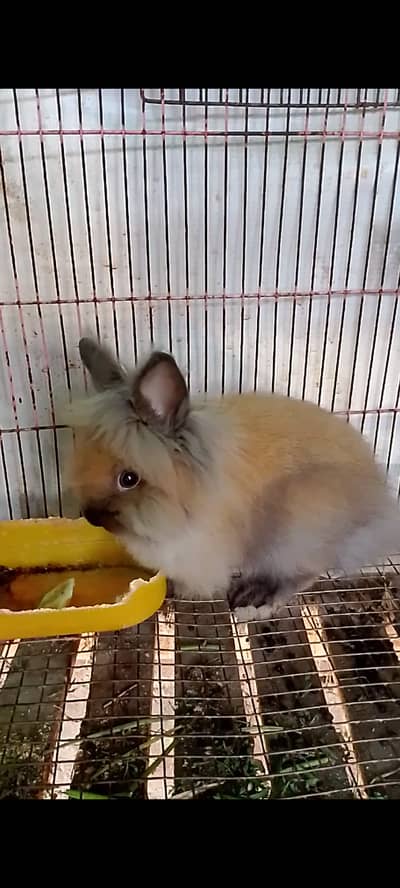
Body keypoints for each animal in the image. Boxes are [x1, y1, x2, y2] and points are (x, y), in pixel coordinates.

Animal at [66, 336, 400, 622]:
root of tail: (380, 510)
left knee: (307, 572)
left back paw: (256, 600)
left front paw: (178, 591)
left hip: (300, 521)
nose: (91, 516)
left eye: (129, 478)